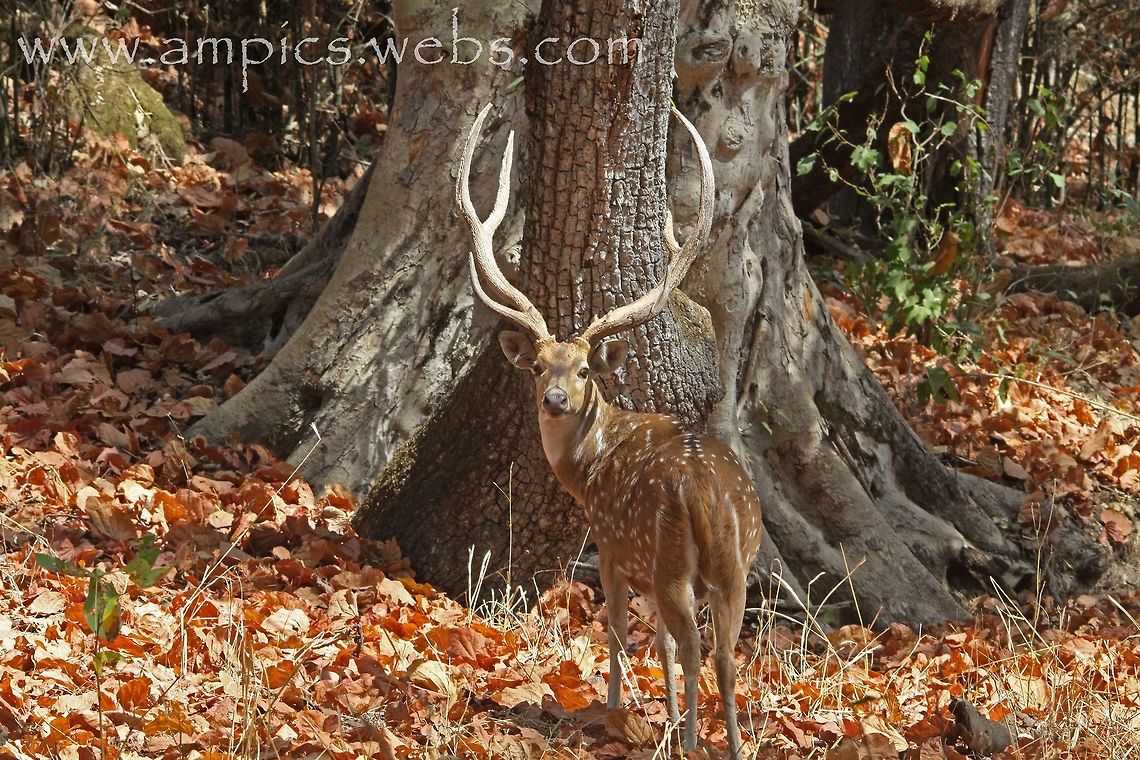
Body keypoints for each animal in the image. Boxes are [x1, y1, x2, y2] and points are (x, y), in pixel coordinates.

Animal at [456, 103, 763, 759]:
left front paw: (617, 711)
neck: (589, 467)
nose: (554, 400)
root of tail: (707, 494)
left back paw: (689, 741)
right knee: (726, 655)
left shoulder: (612, 545)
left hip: (668, 556)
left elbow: (621, 633)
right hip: (737, 565)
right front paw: (660, 710)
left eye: (583, 370)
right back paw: (726, 742)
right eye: (539, 366)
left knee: (696, 644)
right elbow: (661, 644)